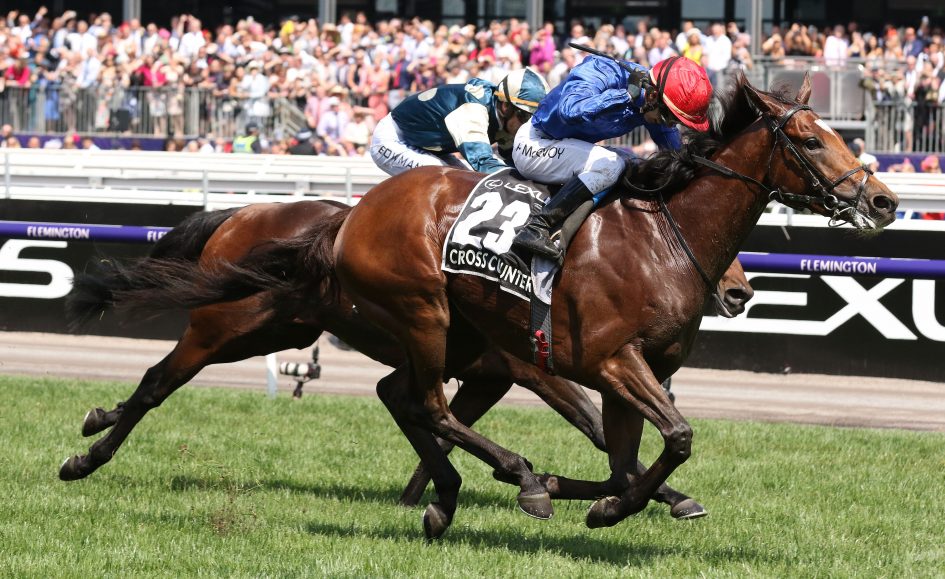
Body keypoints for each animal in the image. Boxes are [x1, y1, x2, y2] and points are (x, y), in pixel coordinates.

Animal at [59, 199, 752, 520]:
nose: (741, 290)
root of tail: (241, 213)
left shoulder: (485, 375)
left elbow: (433, 415)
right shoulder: (536, 370)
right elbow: (600, 434)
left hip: (276, 330)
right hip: (224, 328)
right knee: (157, 381)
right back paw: (86, 455)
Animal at [330, 73, 898, 538]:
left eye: (840, 137)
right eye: (811, 142)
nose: (883, 202)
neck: (663, 241)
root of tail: (359, 210)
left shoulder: (640, 371)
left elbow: (624, 466)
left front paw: (583, 493)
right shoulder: (612, 362)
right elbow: (677, 437)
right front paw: (592, 503)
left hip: (464, 336)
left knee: (402, 396)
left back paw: (454, 497)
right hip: (425, 312)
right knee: (430, 406)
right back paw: (513, 479)